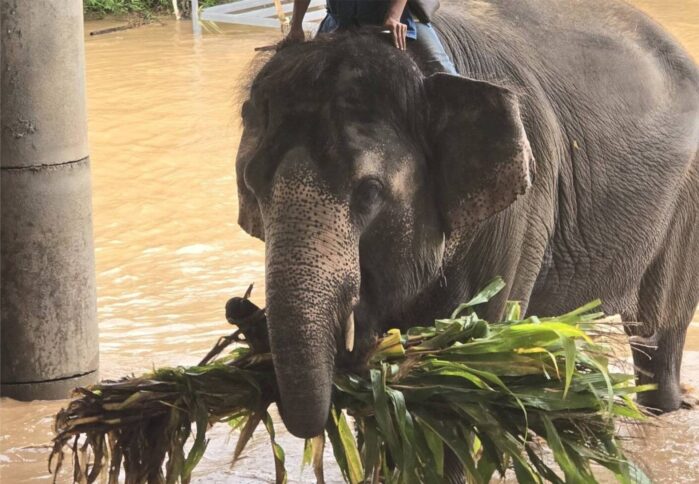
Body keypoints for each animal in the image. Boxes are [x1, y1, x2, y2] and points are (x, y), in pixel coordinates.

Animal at [235, 0, 699, 438]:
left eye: (369, 192)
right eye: (254, 188)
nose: (239, 308)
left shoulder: (521, 209)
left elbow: (473, 356)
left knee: (658, 335)